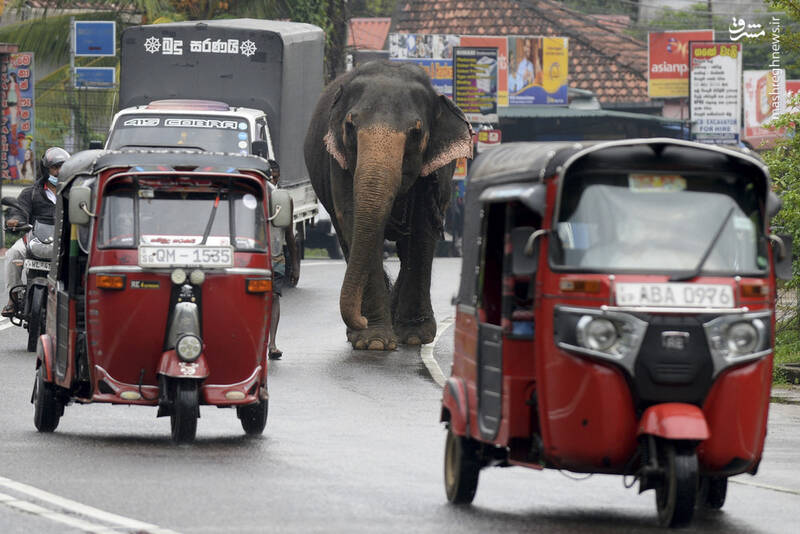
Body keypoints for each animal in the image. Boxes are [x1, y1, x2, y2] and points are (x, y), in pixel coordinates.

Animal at [304, 60, 472, 352]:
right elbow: (353, 220)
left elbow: (422, 229)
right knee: (347, 241)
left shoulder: (435, 173)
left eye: (416, 133)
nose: (358, 320)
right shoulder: (338, 162)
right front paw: (373, 341)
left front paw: (415, 337)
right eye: (350, 126)